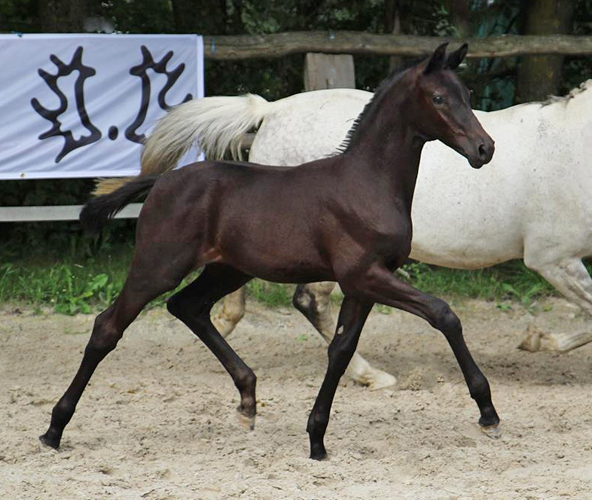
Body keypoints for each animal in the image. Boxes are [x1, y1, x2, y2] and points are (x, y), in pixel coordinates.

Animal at [40, 44, 500, 460]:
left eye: (467, 95)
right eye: (438, 98)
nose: (485, 149)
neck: (366, 183)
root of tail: (163, 181)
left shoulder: (363, 284)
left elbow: (340, 350)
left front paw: (317, 438)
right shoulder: (365, 275)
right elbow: (444, 314)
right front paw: (488, 413)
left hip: (228, 270)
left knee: (187, 307)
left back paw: (247, 401)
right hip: (158, 266)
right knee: (108, 327)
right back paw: (53, 430)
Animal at [97, 82, 592, 390]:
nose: (483, 150)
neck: (574, 145)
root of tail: (271, 111)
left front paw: (538, 341)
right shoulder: (554, 259)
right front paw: (540, 341)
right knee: (308, 302)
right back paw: (370, 374)